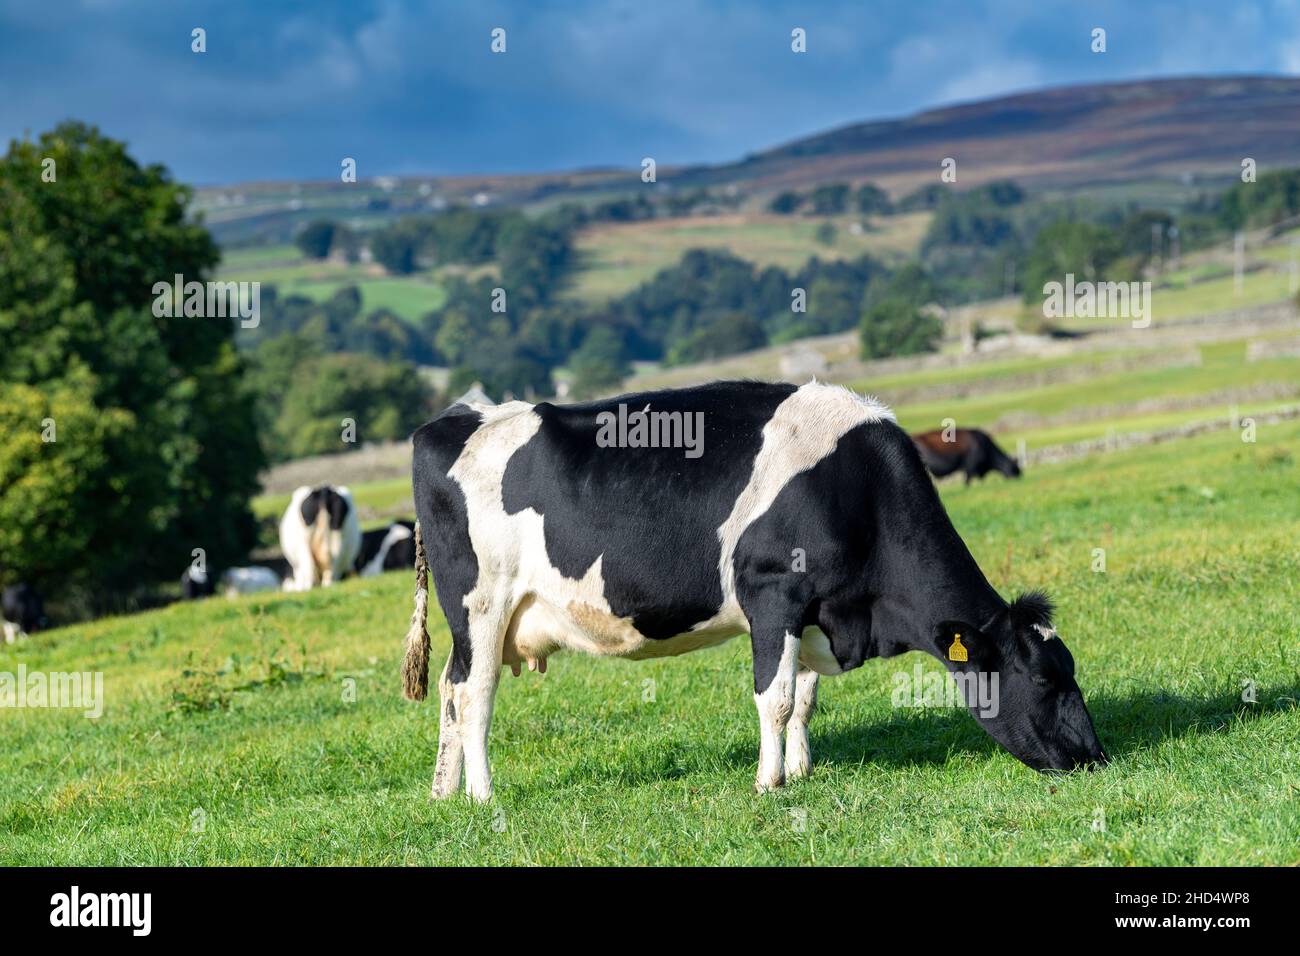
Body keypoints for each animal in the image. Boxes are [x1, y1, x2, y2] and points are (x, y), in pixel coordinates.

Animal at [397, 382, 1107, 801]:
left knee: (451, 692)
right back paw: (484, 795)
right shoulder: (773, 592)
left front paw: (801, 769)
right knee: (475, 694)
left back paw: (442, 792)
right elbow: (778, 696)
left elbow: (807, 699)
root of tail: (449, 421)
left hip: (473, 623)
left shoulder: (815, 612)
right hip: (483, 603)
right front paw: (771, 782)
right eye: (1044, 679)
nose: (1095, 757)